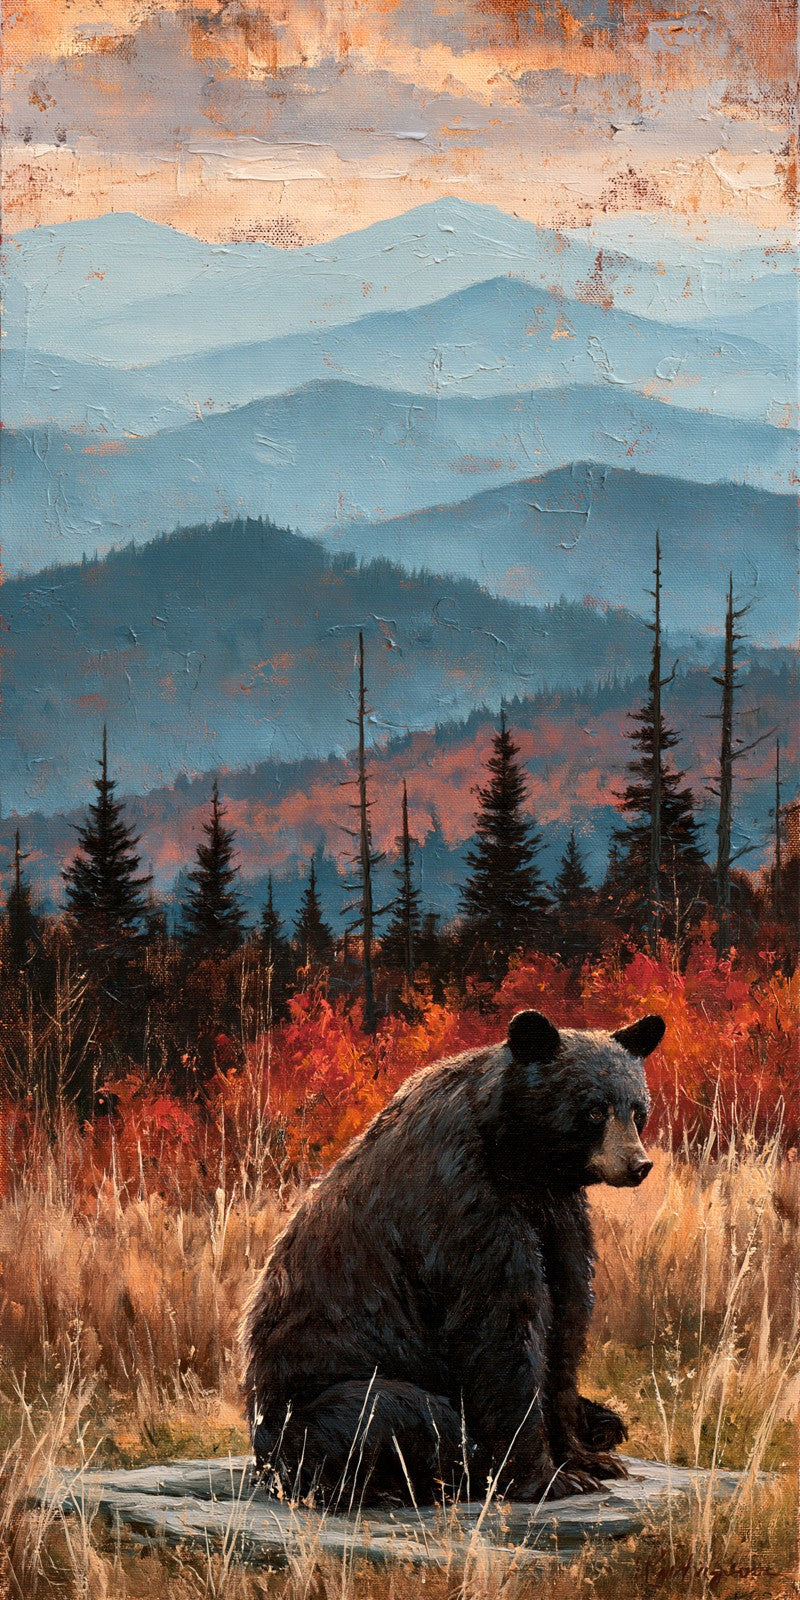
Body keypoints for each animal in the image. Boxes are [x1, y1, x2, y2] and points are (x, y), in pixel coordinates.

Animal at [241, 1007, 664, 1506]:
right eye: (595, 1110)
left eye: (637, 1110)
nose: (638, 1165)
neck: (520, 1162)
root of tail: (262, 1453)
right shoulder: (464, 1203)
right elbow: (502, 1326)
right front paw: (548, 1478)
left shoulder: (557, 1214)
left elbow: (566, 1319)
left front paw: (586, 1458)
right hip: (314, 1411)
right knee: (400, 1412)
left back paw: (602, 1424)